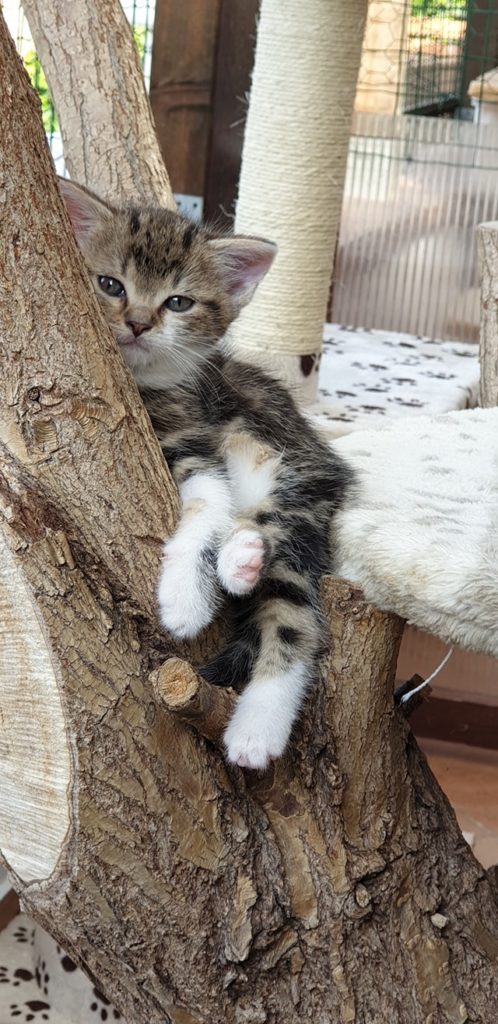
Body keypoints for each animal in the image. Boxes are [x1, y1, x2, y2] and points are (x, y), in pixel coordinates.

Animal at [60, 178, 353, 770]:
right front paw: (192, 592)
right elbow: (210, 501)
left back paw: (257, 729)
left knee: (291, 614)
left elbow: (207, 501)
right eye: (110, 285)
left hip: (296, 484)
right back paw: (240, 560)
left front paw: (183, 602)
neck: (148, 386)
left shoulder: (194, 433)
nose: (138, 323)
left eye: (178, 302)